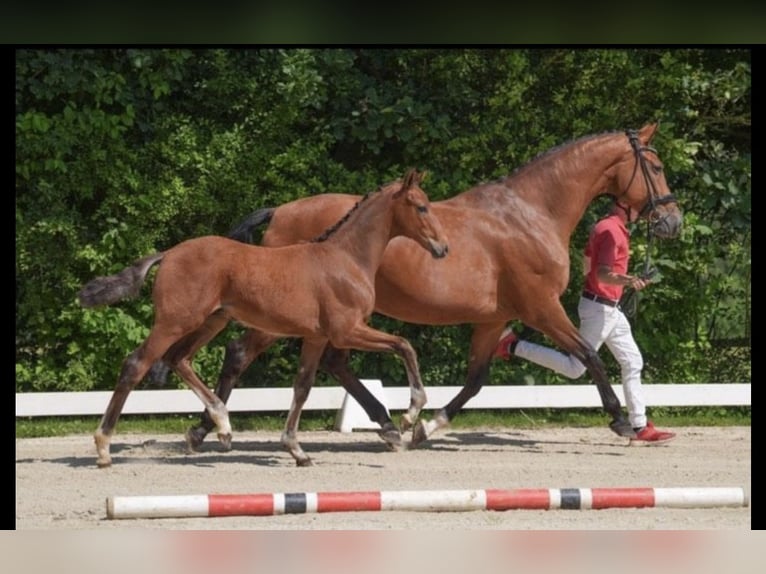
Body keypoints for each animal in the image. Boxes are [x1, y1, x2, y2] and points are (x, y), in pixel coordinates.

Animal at [76, 170, 450, 468]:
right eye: (421, 206)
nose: (443, 248)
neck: (345, 259)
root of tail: (168, 254)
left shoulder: (316, 337)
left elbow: (302, 387)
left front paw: (297, 450)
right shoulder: (347, 331)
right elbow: (404, 346)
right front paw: (410, 416)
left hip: (210, 321)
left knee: (179, 358)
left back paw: (223, 427)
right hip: (174, 323)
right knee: (136, 364)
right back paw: (104, 447)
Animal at [184, 124, 684, 452]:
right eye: (656, 165)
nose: (673, 221)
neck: (531, 212)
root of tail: (281, 212)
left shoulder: (495, 319)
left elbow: (476, 380)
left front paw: (427, 425)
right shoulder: (542, 308)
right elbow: (589, 356)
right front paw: (621, 420)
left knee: (331, 362)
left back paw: (387, 425)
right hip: (285, 317)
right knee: (240, 354)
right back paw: (206, 429)